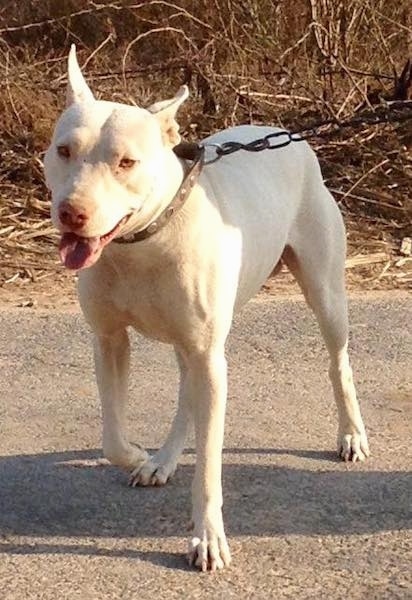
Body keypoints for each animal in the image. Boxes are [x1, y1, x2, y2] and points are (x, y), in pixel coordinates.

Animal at [43, 47, 368, 572]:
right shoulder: (109, 340)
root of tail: (285, 133)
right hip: (188, 343)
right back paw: (163, 459)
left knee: (339, 362)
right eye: (64, 150)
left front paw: (208, 538)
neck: (144, 241)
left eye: (126, 162)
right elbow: (112, 436)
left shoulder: (213, 361)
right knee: (185, 395)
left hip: (324, 294)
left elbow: (211, 466)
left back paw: (352, 435)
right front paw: (140, 455)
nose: (72, 212)